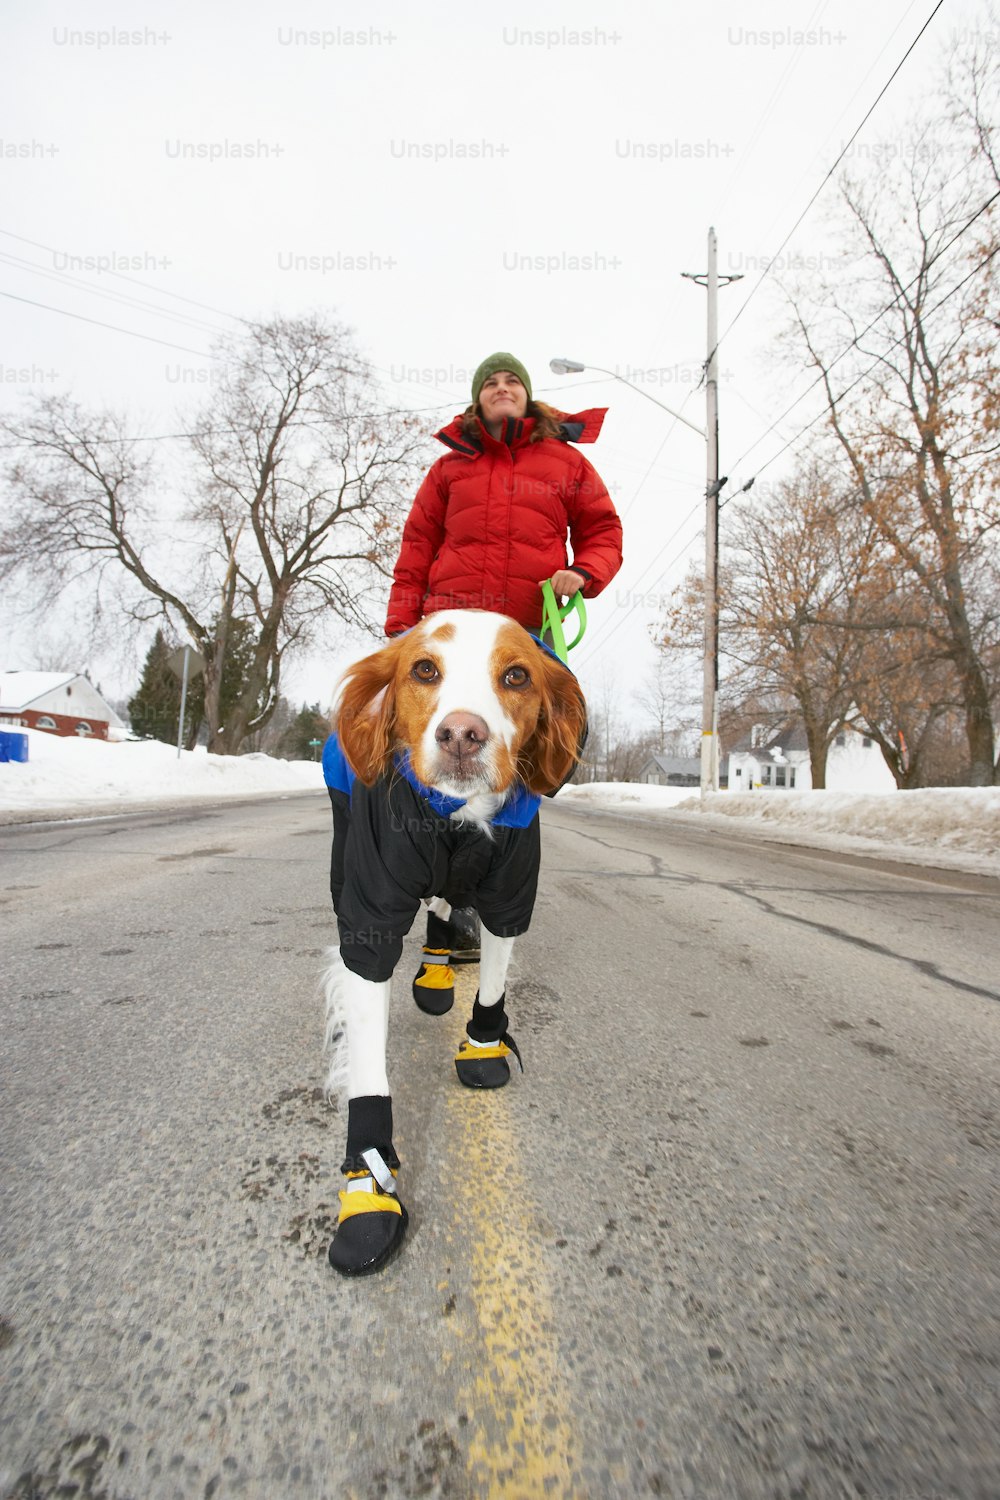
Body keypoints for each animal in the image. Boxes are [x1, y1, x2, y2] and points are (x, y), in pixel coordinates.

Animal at [320, 609, 587, 1278]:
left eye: (516, 675)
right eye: (423, 669)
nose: (463, 735)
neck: (457, 819)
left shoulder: (512, 889)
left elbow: (492, 982)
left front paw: (485, 1044)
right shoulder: (372, 911)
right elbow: (368, 1058)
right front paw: (368, 1189)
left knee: (444, 905)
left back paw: (439, 967)